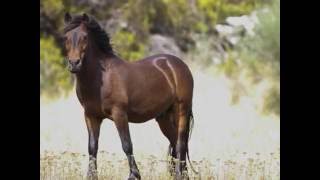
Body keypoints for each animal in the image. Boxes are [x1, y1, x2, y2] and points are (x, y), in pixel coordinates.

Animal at [62, 12, 195, 179]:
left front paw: (134, 175)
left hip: (181, 110)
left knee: (180, 144)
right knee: (175, 143)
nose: (74, 64)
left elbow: (127, 145)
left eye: (84, 37)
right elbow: (92, 147)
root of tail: (178, 64)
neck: (100, 79)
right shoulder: (91, 116)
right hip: (163, 117)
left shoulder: (119, 114)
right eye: (66, 38)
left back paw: (179, 174)